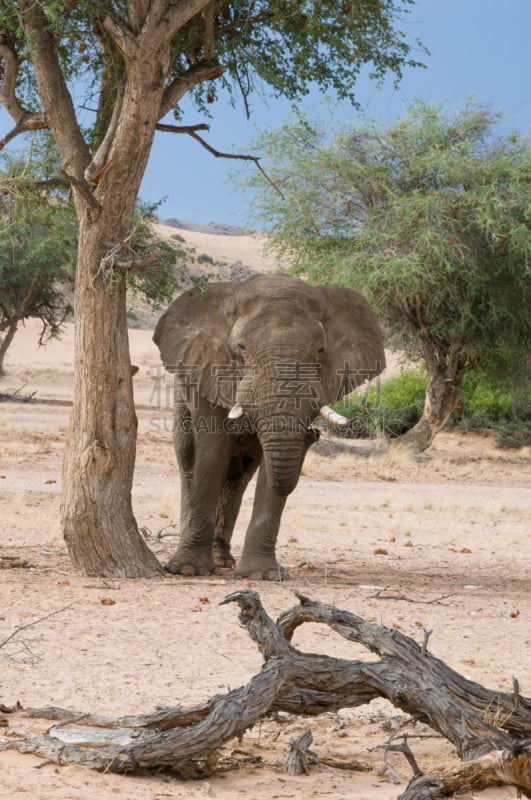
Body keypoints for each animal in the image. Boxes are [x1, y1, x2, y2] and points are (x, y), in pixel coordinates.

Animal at [154, 272, 386, 580]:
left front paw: (262, 576)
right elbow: (212, 453)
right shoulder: (208, 371)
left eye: (321, 350)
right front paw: (187, 570)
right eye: (240, 348)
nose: (314, 434)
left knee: (238, 477)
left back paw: (223, 561)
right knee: (190, 463)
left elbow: (270, 468)